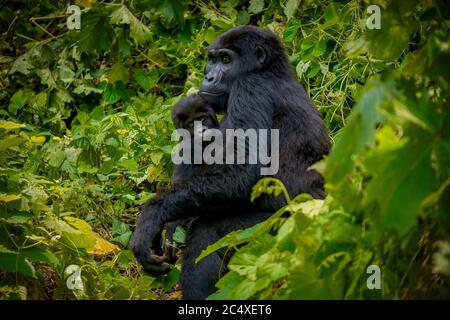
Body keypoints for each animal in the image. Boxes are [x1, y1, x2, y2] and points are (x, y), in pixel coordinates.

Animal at [130, 25, 330, 300]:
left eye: (226, 60)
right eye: (212, 59)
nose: (209, 77)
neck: (269, 71)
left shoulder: (251, 89)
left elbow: (240, 173)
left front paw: (152, 216)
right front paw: (169, 226)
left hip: (288, 233)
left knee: (208, 231)